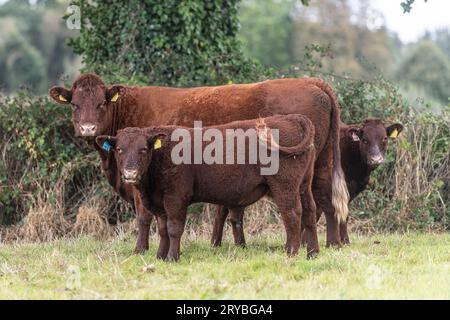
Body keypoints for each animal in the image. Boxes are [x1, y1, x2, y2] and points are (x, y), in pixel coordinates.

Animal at [95, 114, 320, 260]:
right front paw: (159, 255)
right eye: (120, 150)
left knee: (292, 214)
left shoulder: (176, 197)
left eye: (143, 149)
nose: (130, 174)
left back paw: (291, 252)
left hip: (285, 186)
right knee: (310, 212)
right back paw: (313, 253)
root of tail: (293, 118)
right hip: (304, 185)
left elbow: (174, 228)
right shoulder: (159, 203)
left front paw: (172, 257)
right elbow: (162, 229)